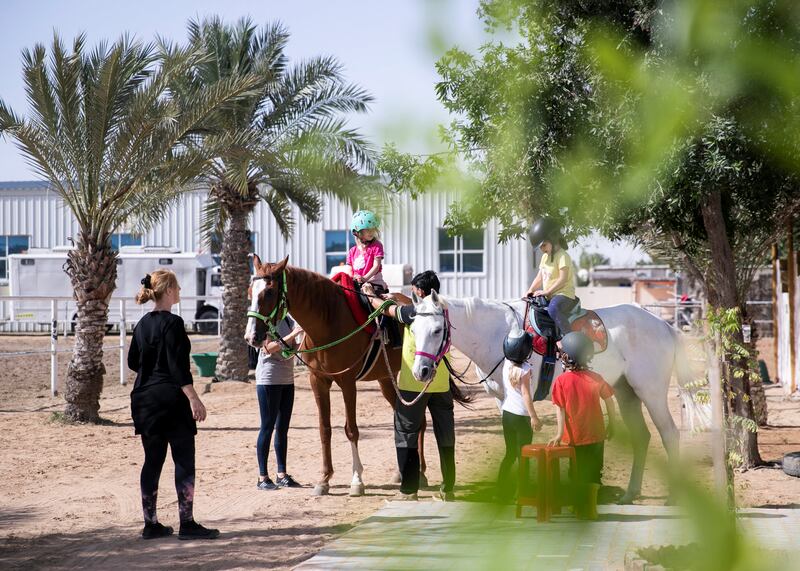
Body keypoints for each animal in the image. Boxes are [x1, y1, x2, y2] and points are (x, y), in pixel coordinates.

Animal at [244, 256, 412, 496]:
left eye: (268, 292)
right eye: (250, 292)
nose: (251, 337)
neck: (328, 322)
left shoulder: (348, 383)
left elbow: (351, 430)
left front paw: (356, 480)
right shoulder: (318, 381)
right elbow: (325, 429)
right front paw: (324, 479)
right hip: (386, 379)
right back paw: (401, 473)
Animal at [406, 292, 708, 502]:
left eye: (436, 330)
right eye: (413, 329)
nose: (421, 371)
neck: (500, 333)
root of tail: (663, 325)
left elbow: (520, 442)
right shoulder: (502, 401)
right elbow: (511, 443)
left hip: (651, 392)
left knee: (669, 434)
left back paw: (673, 496)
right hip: (627, 394)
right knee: (642, 437)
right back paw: (630, 493)